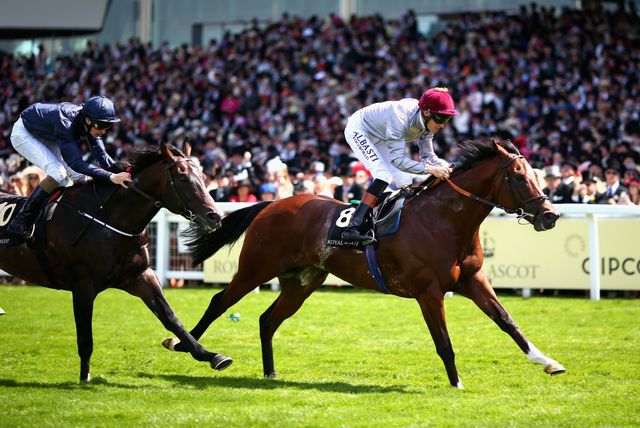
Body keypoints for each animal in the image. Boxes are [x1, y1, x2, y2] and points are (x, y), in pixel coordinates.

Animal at [0, 143, 232, 382]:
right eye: (183, 178)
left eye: (203, 176)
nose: (215, 216)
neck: (108, 221)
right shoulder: (82, 286)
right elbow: (85, 338)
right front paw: (84, 378)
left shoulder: (141, 276)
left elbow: (170, 317)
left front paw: (211, 356)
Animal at [164, 139, 564, 390]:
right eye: (518, 176)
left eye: (536, 174)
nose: (550, 215)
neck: (445, 221)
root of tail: (273, 203)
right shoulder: (429, 292)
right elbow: (444, 342)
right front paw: (457, 384)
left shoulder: (473, 281)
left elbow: (507, 321)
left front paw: (547, 361)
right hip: (255, 268)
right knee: (220, 302)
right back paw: (188, 346)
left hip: (303, 282)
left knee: (268, 319)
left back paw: (271, 373)